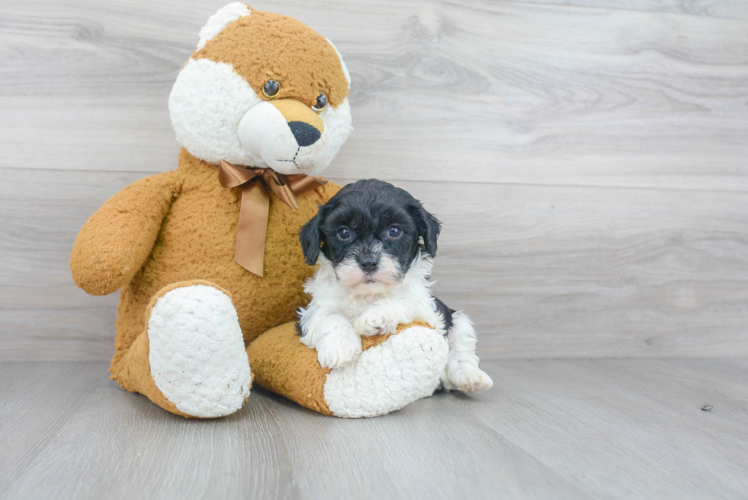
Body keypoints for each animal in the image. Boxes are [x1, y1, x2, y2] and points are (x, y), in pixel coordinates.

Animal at [296, 178, 494, 392]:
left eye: (394, 231)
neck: (369, 294)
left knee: (461, 350)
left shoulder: (427, 310)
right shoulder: (315, 307)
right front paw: (339, 346)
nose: (368, 261)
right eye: (344, 232)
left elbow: (402, 300)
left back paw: (472, 378)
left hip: (459, 319)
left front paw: (375, 317)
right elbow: (327, 316)